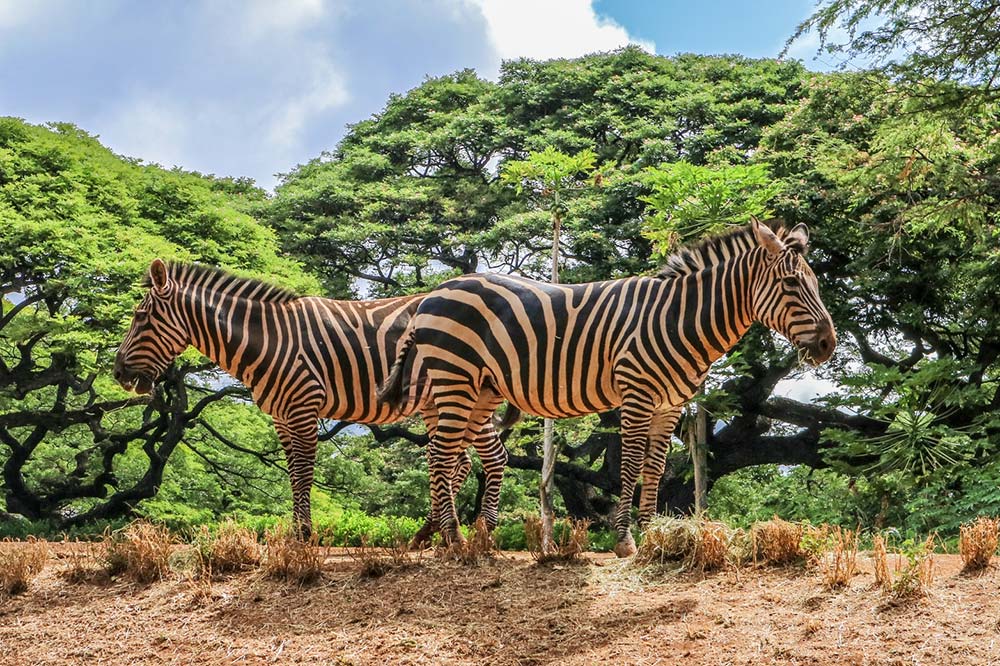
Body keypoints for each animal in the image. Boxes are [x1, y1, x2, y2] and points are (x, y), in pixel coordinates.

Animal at [114, 259, 510, 541]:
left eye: (140, 317)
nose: (118, 373)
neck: (268, 340)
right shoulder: (281, 415)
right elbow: (292, 473)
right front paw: (295, 532)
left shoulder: (303, 405)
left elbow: (304, 471)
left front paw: (304, 535)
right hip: (445, 397)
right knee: (459, 461)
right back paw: (430, 531)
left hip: (461, 388)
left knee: (492, 457)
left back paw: (482, 531)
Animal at [380, 220, 836, 556]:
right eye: (792, 284)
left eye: (815, 283)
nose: (828, 345)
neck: (679, 318)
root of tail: (432, 294)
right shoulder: (637, 394)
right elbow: (630, 466)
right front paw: (625, 541)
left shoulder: (670, 405)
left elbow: (654, 469)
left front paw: (653, 536)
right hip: (454, 378)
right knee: (441, 455)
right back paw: (453, 540)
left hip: (481, 389)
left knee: (454, 456)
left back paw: (465, 540)